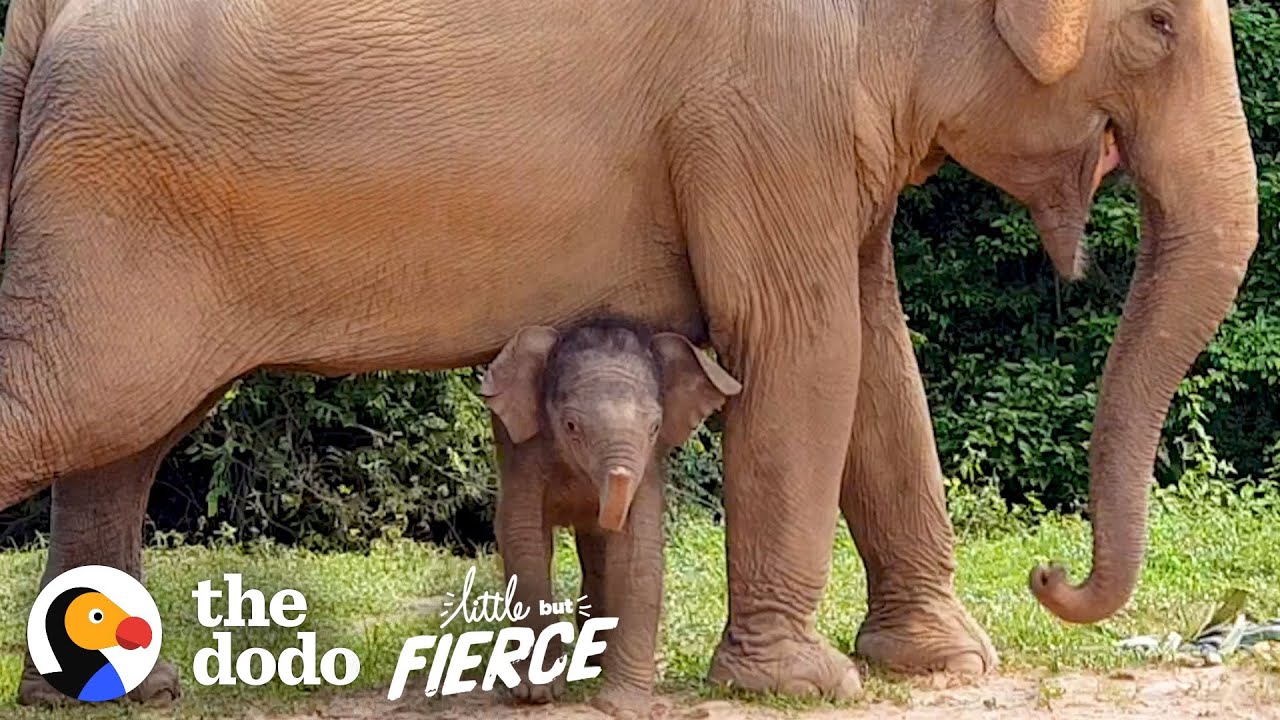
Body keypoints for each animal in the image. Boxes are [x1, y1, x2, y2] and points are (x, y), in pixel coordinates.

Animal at [482, 318, 741, 717]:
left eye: (654, 428)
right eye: (571, 426)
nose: (614, 480)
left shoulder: (648, 466)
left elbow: (638, 550)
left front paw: (622, 706)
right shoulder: (523, 451)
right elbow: (523, 538)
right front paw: (536, 695)